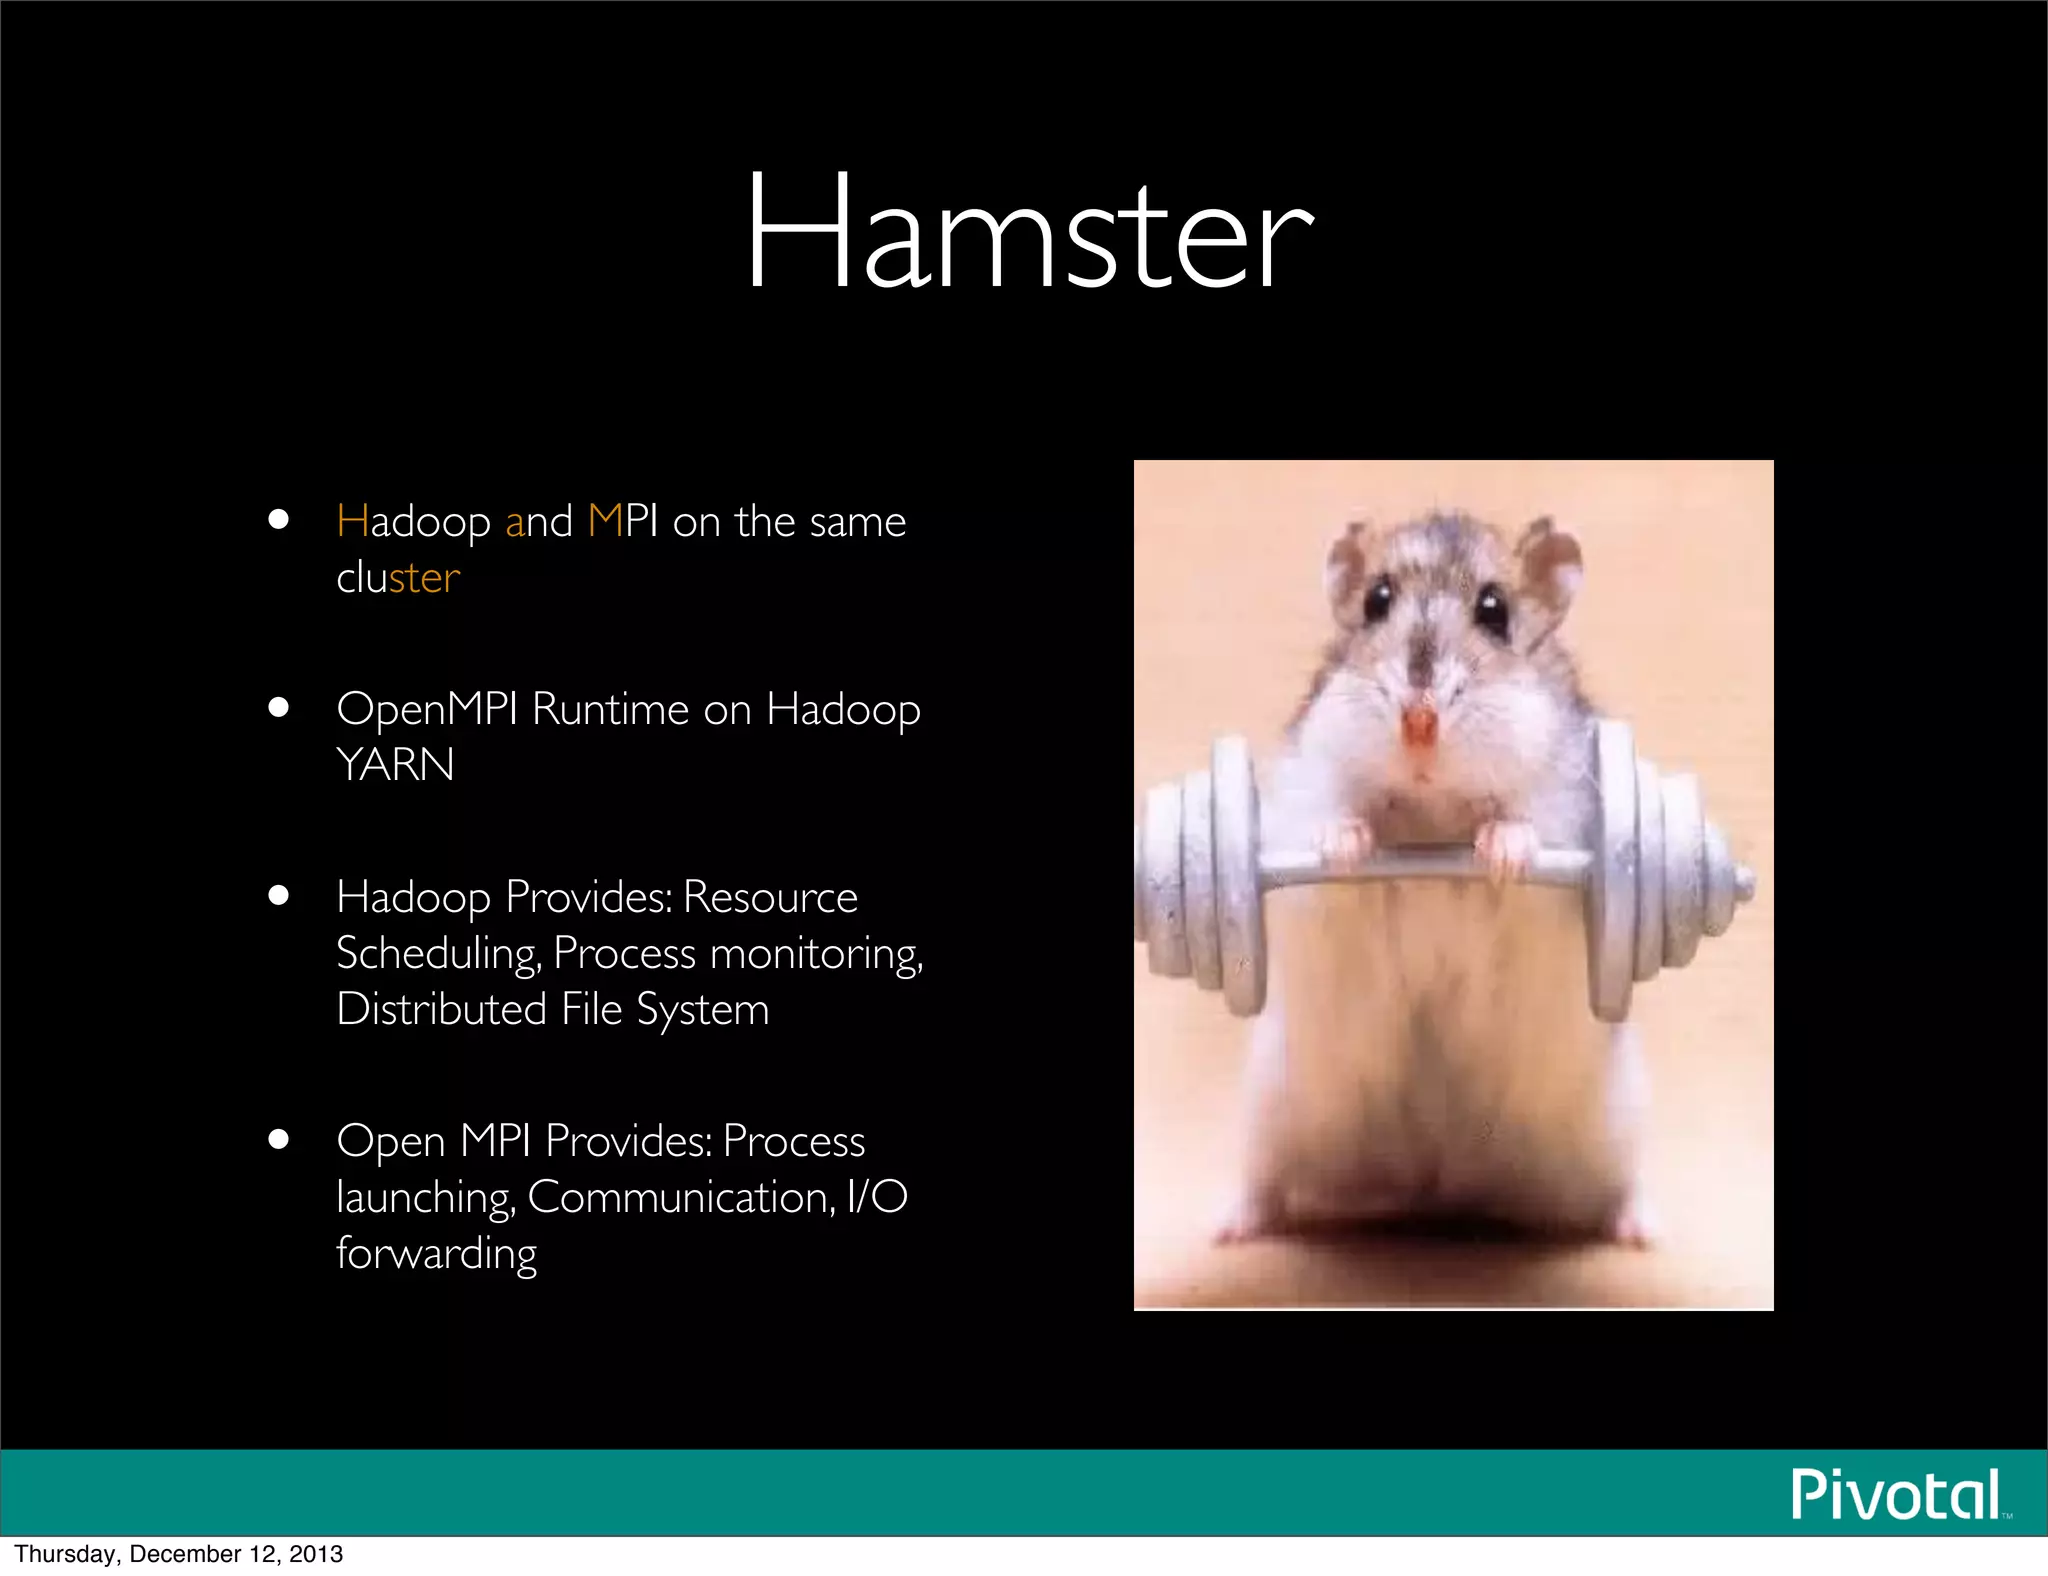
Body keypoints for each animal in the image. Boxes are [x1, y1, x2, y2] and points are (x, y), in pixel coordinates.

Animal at [1214, 510, 1657, 1249]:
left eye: (1495, 611)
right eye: (1377, 601)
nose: (1418, 724)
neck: (1433, 810)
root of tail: (1439, 1179)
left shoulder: (1563, 811)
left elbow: (1521, 830)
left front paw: (1503, 854)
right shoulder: (1307, 798)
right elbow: (1338, 831)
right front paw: (1347, 848)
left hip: (1617, 1127)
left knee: (1619, 1191)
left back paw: (1642, 1231)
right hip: (1269, 1107)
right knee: (1263, 1184)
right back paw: (1225, 1227)